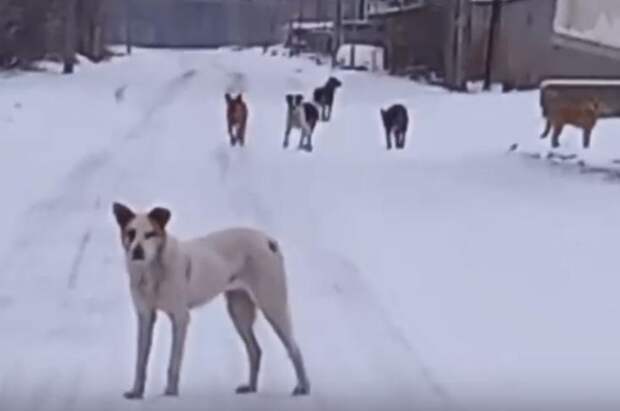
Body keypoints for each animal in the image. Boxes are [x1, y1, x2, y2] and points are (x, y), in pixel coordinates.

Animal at [112, 204, 310, 400]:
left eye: (150, 234)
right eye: (131, 233)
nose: (137, 251)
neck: (152, 271)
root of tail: (268, 239)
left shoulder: (180, 317)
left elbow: (174, 362)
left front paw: (170, 392)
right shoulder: (145, 317)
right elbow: (140, 360)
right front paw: (136, 392)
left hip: (272, 304)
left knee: (294, 348)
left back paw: (303, 387)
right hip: (239, 311)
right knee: (255, 350)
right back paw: (251, 387)